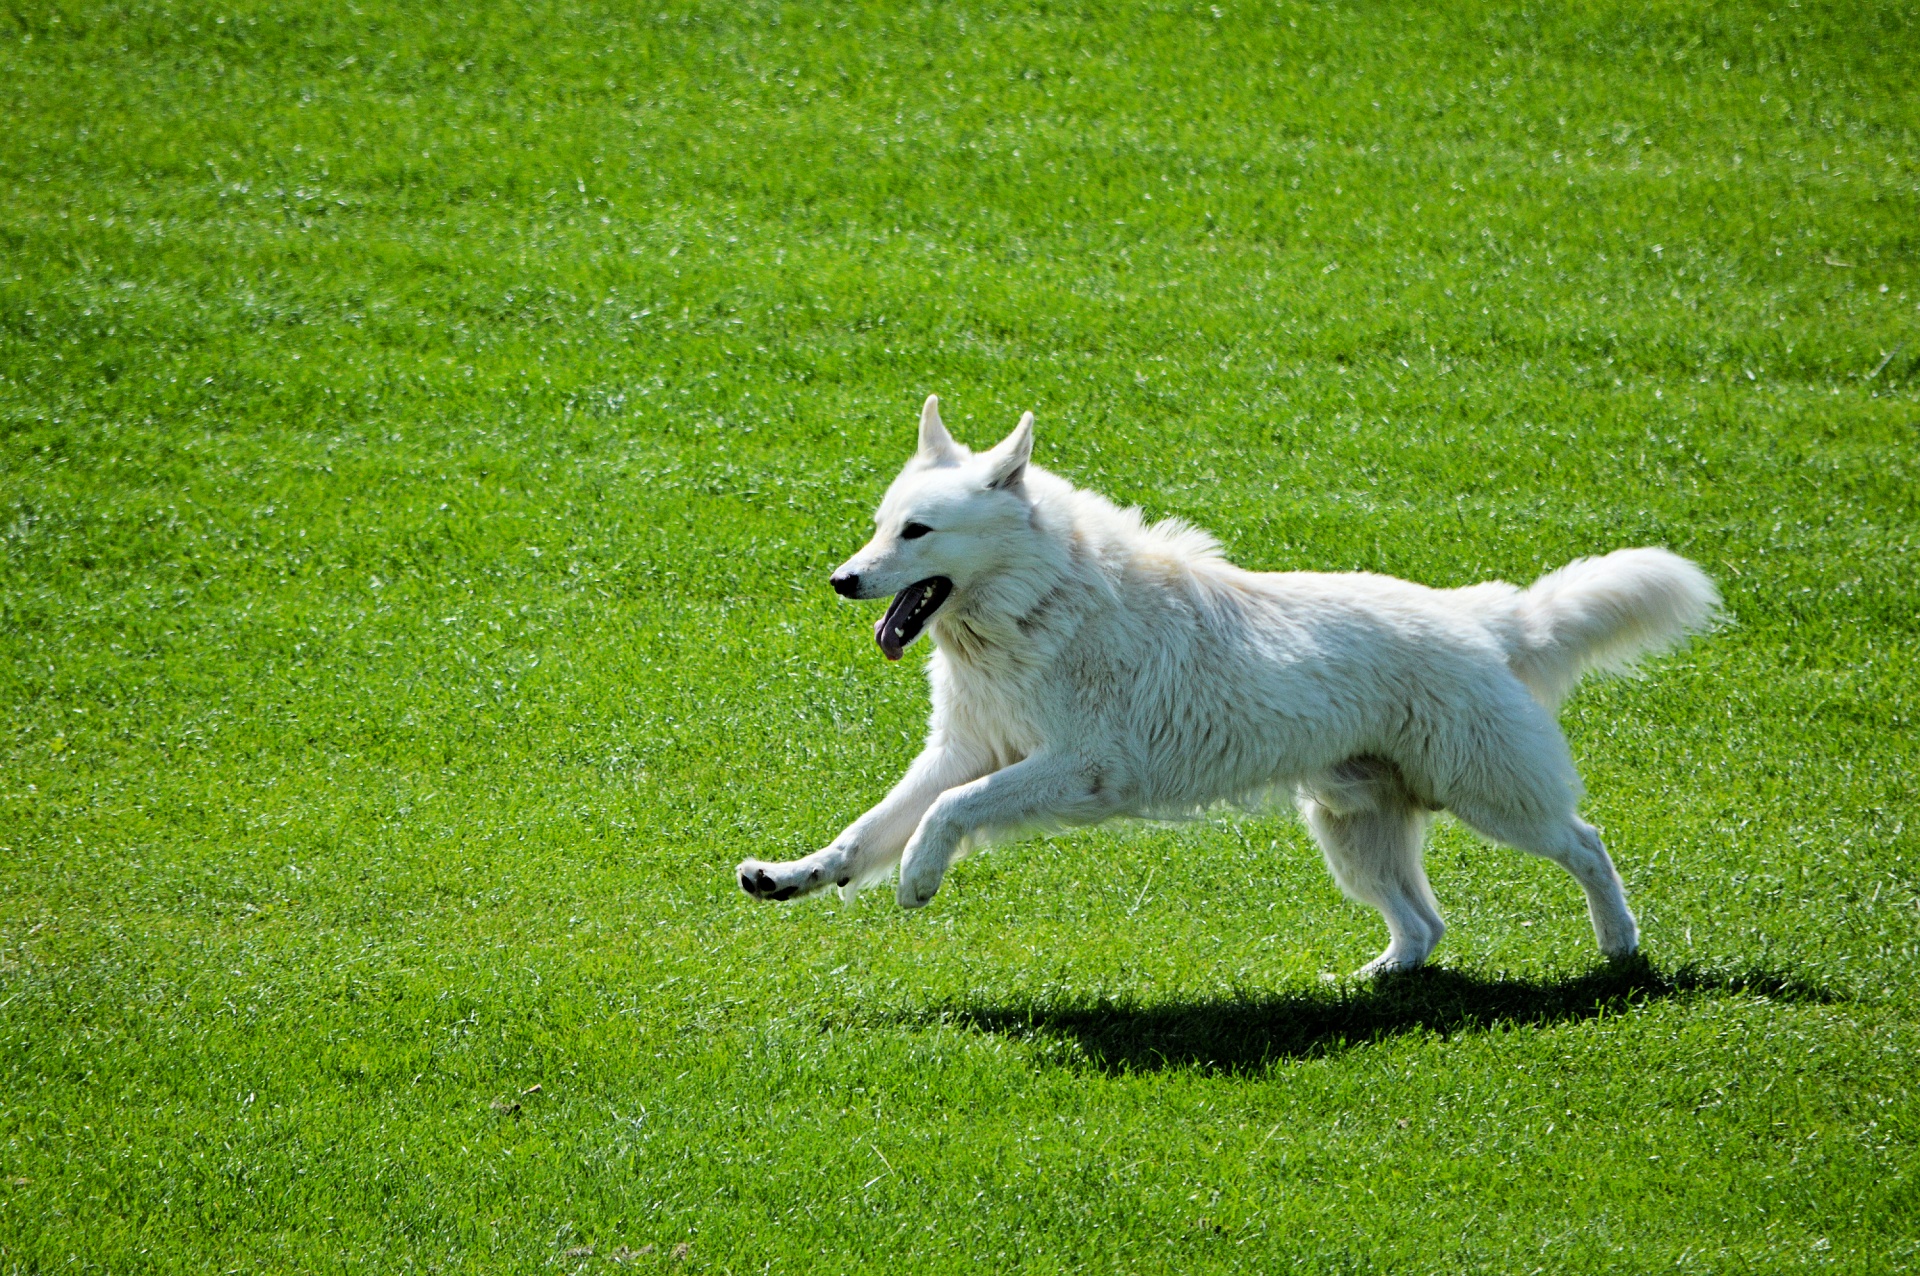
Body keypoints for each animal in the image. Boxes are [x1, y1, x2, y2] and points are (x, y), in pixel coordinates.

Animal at [737, 399, 1728, 974]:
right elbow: (866, 828)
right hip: (1352, 828)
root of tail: (1491, 618)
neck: (1039, 603)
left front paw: (917, 880)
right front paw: (793, 876)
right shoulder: (964, 751)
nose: (841, 580)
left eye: (917, 531)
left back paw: (1620, 949)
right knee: (1426, 928)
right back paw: (1370, 983)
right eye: (879, 526)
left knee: (1587, 845)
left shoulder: (1077, 769)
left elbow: (945, 816)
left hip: (1492, 798)